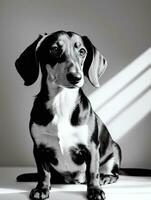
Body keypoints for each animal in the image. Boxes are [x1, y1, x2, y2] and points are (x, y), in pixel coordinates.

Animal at [15, 30, 121, 200]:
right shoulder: (39, 148)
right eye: (54, 49)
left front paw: (95, 190)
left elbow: (93, 171)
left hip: (115, 149)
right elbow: (43, 172)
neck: (61, 101)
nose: (75, 77)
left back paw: (106, 177)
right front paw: (41, 188)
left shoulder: (91, 148)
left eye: (82, 51)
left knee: (113, 173)